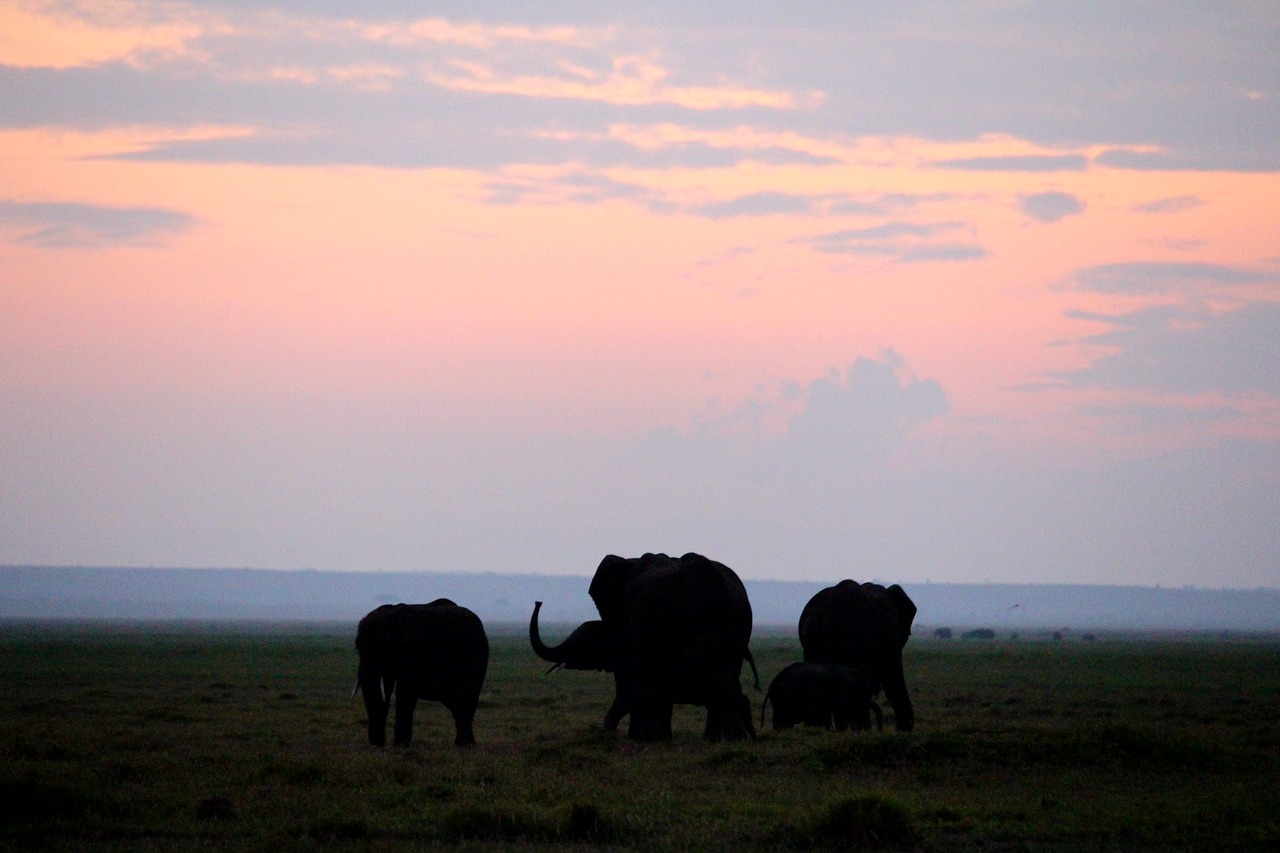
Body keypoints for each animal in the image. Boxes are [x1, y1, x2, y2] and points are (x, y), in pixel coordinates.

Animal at [355, 596, 488, 742]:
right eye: (358, 649)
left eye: (380, 650)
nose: (378, 744)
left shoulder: (415, 652)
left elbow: (405, 690)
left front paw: (400, 744)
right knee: (455, 703)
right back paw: (466, 743)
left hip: (478, 658)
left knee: (467, 697)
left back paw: (464, 743)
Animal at [527, 550, 752, 737]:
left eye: (583, 645)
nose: (538, 602)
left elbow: (631, 685)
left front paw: (637, 737)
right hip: (736, 628)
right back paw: (723, 738)